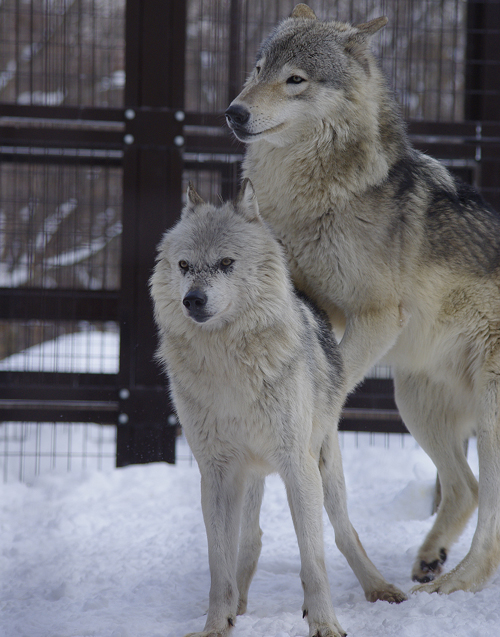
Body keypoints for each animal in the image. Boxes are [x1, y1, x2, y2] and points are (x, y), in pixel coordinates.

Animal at [149, 179, 406, 636]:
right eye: (183, 265)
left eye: (226, 262)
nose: (192, 300)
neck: (229, 368)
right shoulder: (215, 474)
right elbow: (219, 565)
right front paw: (216, 624)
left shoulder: (297, 466)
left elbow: (314, 561)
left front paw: (324, 624)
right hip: (250, 475)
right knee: (251, 538)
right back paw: (240, 604)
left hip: (324, 466)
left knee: (344, 532)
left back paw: (378, 587)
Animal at [225, 2, 500, 592]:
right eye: (258, 69)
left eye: (295, 80)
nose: (234, 113)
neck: (314, 199)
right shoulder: (320, 308)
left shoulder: (376, 316)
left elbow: (331, 385)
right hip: (413, 402)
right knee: (464, 488)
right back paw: (430, 561)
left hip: (486, 417)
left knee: (489, 511)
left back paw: (454, 583)